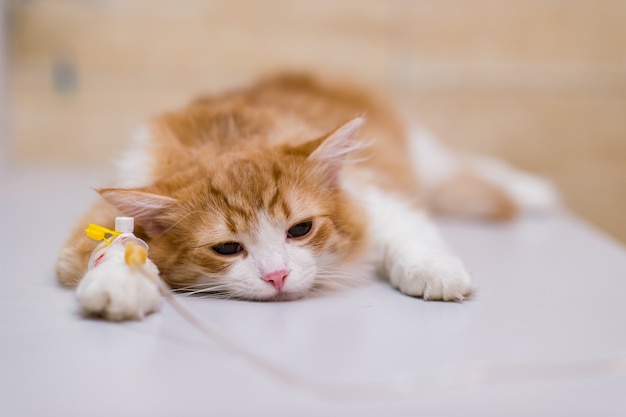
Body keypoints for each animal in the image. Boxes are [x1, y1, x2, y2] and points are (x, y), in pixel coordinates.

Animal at [54, 73, 556, 318]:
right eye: (227, 248)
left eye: (300, 230)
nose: (276, 276)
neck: (227, 139)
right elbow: (119, 246)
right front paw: (118, 285)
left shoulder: (373, 192)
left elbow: (408, 235)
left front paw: (434, 272)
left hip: (420, 152)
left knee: (462, 167)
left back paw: (533, 190)